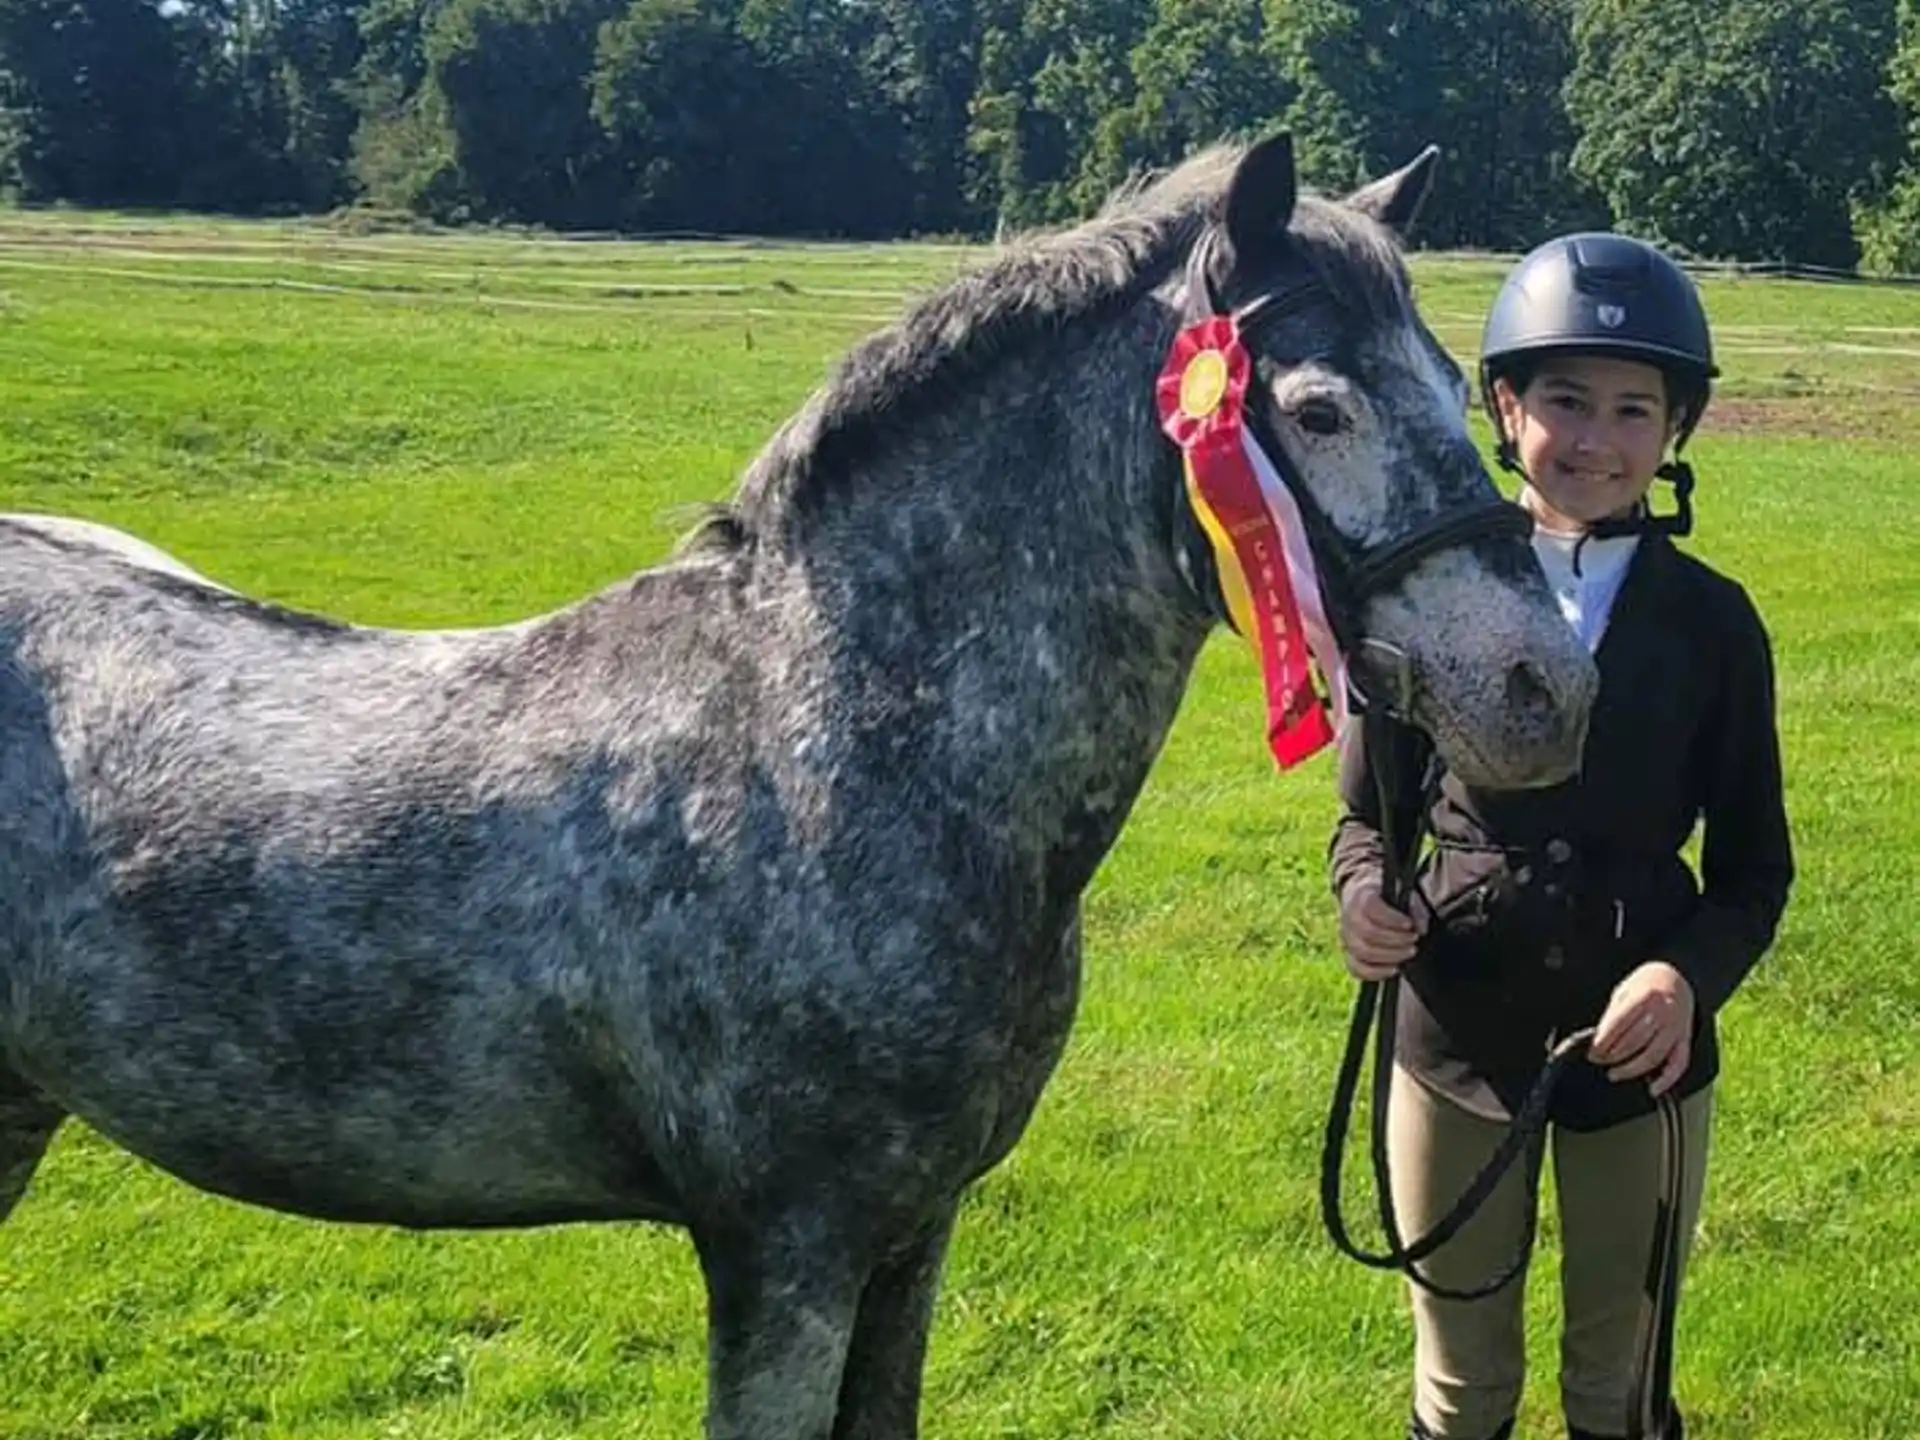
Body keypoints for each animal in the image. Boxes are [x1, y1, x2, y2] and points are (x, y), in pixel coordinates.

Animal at [0, 135, 1599, 1438]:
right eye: (1318, 411)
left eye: (1457, 390)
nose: (1544, 691)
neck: (832, 749)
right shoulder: (788, 1253)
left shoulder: (909, 1237)